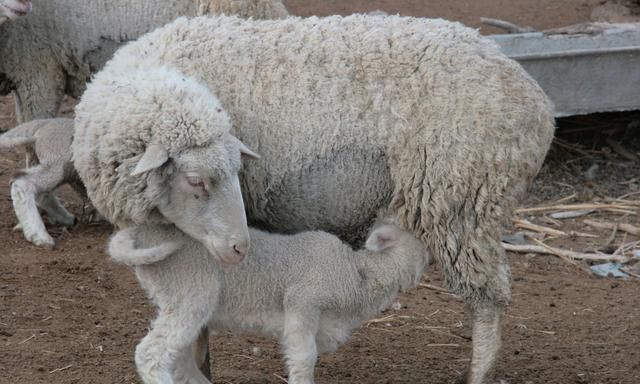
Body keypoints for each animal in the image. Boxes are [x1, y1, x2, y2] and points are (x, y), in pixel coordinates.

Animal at [0, 117, 87, 248]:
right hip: (57, 163)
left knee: (39, 191)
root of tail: (43, 123)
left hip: (37, 159)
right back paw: (40, 236)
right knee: (22, 182)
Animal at [109, 222, 430, 384]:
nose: (433, 259)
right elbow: (304, 358)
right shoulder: (303, 302)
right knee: (150, 354)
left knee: (179, 359)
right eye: (420, 243)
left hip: (180, 302)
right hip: (191, 294)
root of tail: (143, 233)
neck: (356, 274)